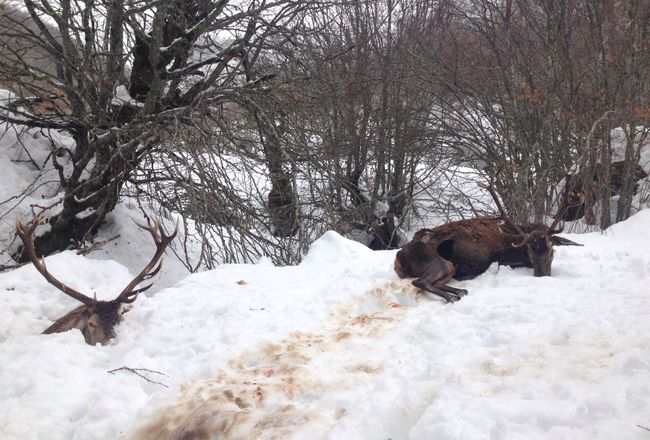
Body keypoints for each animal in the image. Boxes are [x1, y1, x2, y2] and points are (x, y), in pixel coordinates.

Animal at [394, 179, 584, 302]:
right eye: (529, 251)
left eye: (552, 251)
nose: (542, 276)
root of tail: (400, 258)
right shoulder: (495, 257)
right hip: (441, 262)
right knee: (420, 281)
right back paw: (452, 297)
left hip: (448, 267)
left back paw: (460, 291)